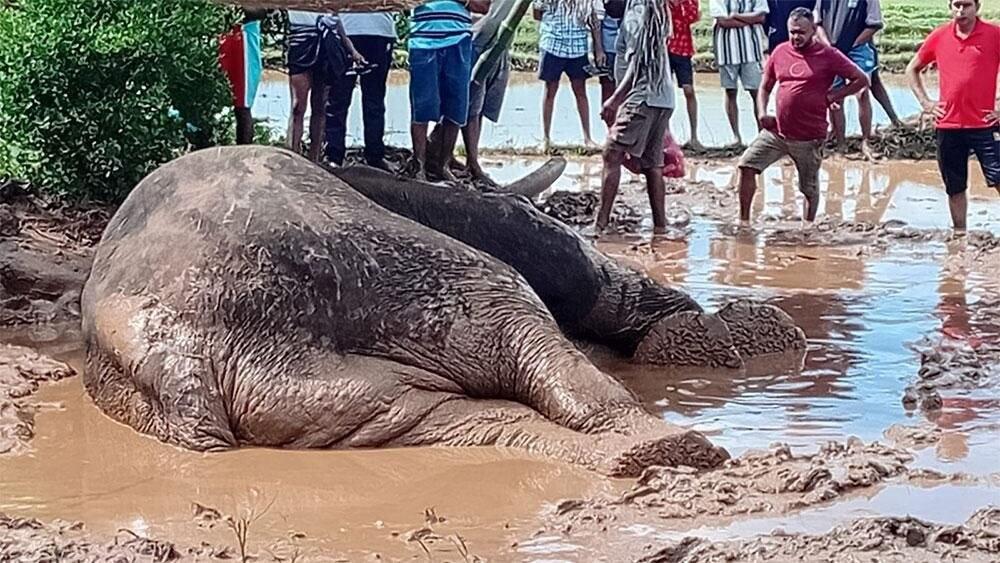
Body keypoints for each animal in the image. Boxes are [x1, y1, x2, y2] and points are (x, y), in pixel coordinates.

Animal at [82, 146, 728, 477]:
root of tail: (179, 354)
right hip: (424, 270)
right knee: (518, 330)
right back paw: (659, 448)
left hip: (316, 386)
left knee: (438, 413)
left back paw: (650, 450)